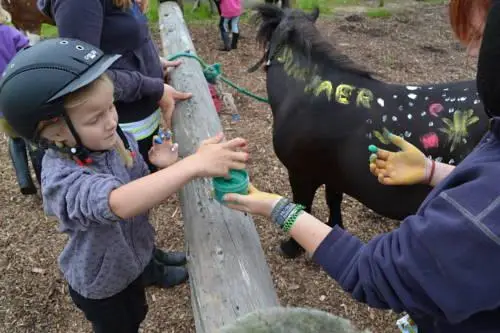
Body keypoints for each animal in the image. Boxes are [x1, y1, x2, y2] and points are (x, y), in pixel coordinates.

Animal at [250, 5, 488, 258]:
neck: (307, 97)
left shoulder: (301, 175)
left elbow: (303, 206)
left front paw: (291, 247)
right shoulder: (333, 175)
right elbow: (333, 200)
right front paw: (334, 226)